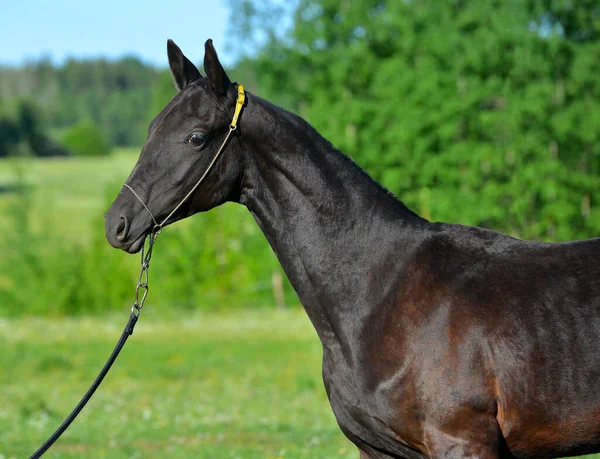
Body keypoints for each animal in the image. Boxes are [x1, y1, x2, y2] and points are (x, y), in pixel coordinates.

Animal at [105, 40, 600, 459]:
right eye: (151, 129)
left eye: (195, 137)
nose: (117, 224)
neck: (380, 296)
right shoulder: (377, 449)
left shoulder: (462, 441)